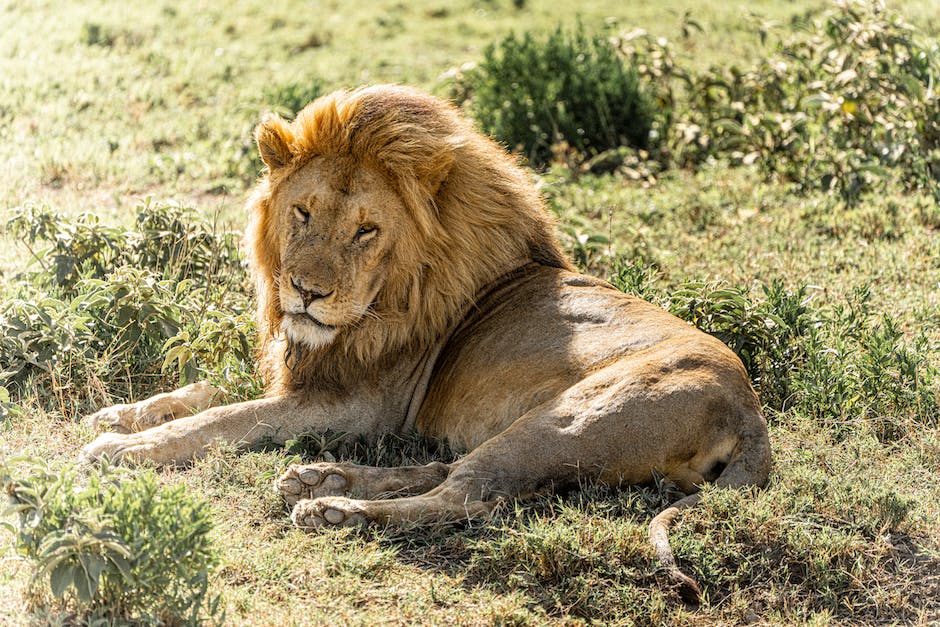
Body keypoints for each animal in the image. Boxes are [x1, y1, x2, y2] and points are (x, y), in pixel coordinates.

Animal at [82, 83, 772, 600]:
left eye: (366, 230)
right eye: (302, 212)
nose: (305, 292)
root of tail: (751, 412)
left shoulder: (357, 403)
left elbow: (226, 419)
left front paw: (123, 448)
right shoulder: (309, 366)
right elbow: (207, 391)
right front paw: (121, 414)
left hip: (574, 416)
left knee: (472, 495)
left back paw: (334, 510)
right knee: (447, 468)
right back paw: (317, 478)